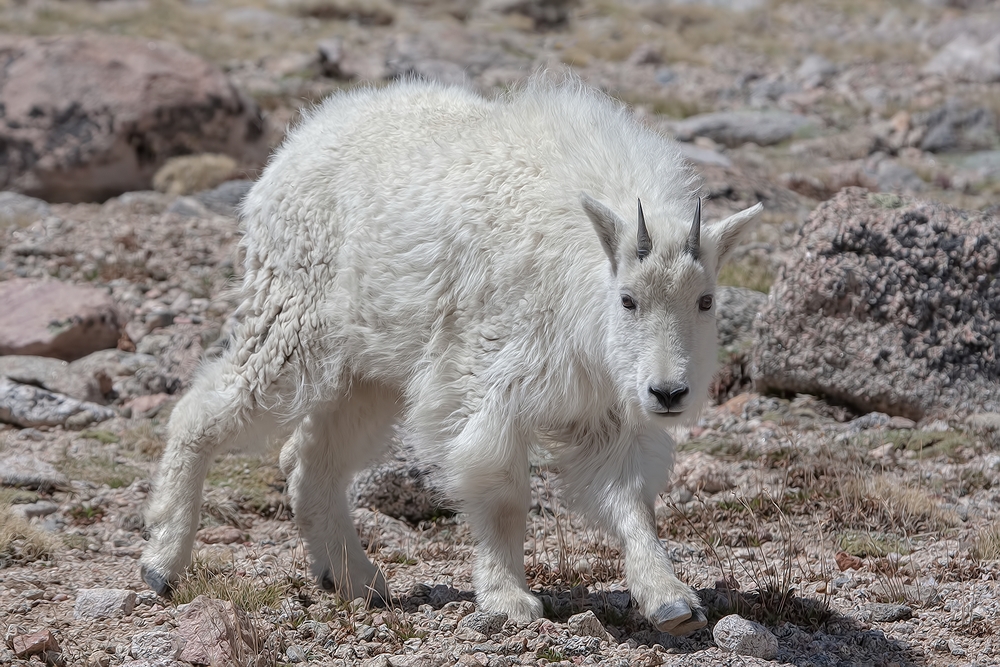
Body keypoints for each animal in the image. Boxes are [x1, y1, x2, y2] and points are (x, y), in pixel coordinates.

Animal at [141, 77, 760, 636]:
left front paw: (670, 601)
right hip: (290, 320)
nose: (669, 393)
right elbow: (503, 494)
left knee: (311, 459)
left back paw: (355, 579)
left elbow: (629, 498)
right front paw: (509, 600)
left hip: (367, 371)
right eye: (629, 299)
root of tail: (295, 143)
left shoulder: (605, 404)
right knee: (203, 412)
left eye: (705, 300)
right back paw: (162, 564)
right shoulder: (485, 380)